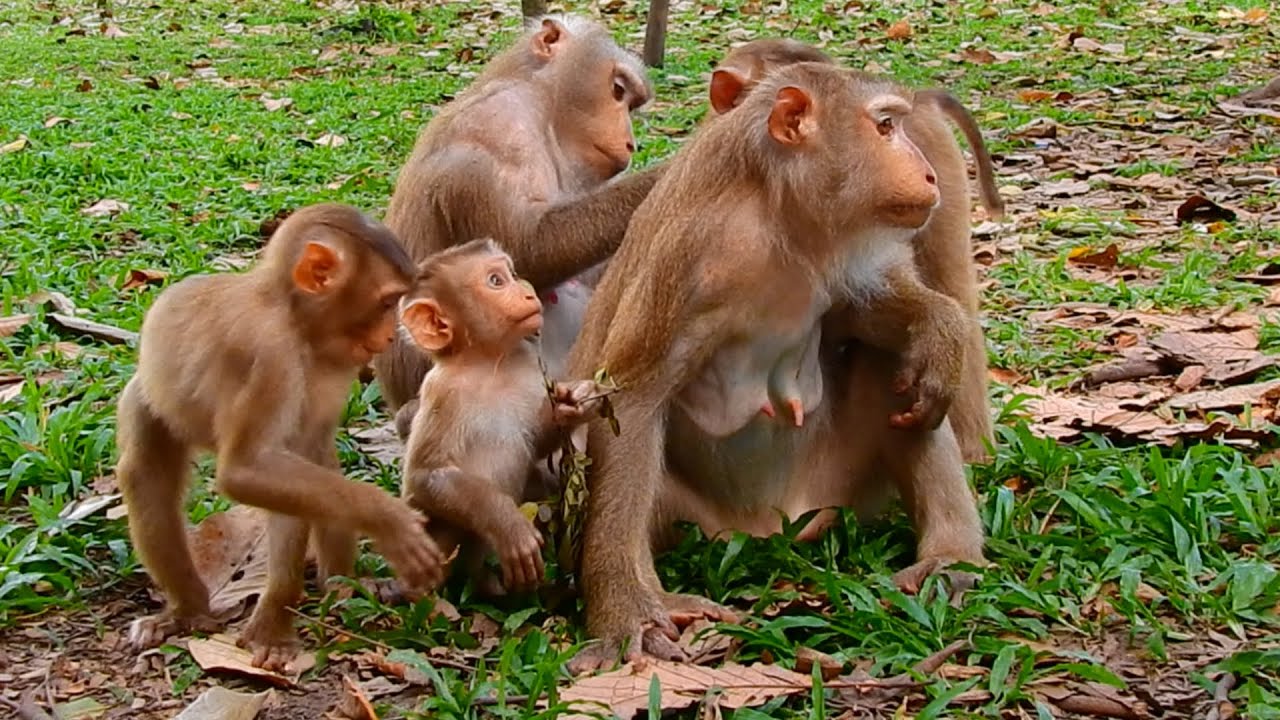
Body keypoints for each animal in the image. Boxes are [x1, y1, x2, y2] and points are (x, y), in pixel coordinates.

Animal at [114, 203, 447, 671]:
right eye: (385, 302)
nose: (387, 337)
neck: (295, 321)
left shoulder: (336, 365)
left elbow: (295, 461)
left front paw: (276, 617)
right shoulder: (268, 355)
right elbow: (247, 469)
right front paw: (391, 521)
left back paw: (342, 584)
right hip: (147, 399)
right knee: (148, 476)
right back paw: (187, 608)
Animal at [374, 14, 663, 429]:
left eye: (632, 103)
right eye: (617, 90)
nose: (630, 142)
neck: (543, 106)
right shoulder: (501, 129)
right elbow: (525, 248)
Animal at [395, 238, 607, 596]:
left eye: (513, 274)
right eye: (496, 281)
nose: (527, 292)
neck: (490, 364)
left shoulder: (528, 369)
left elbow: (537, 440)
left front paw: (572, 406)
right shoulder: (443, 393)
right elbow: (425, 476)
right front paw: (509, 528)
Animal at [564, 63, 986, 673]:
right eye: (885, 126)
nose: (931, 174)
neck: (775, 212)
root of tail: (773, 526)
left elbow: (868, 316)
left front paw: (939, 326)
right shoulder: (693, 253)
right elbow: (631, 399)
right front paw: (628, 613)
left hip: (841, 485)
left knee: (891, 362)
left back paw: (950, 557)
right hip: (697, 517)